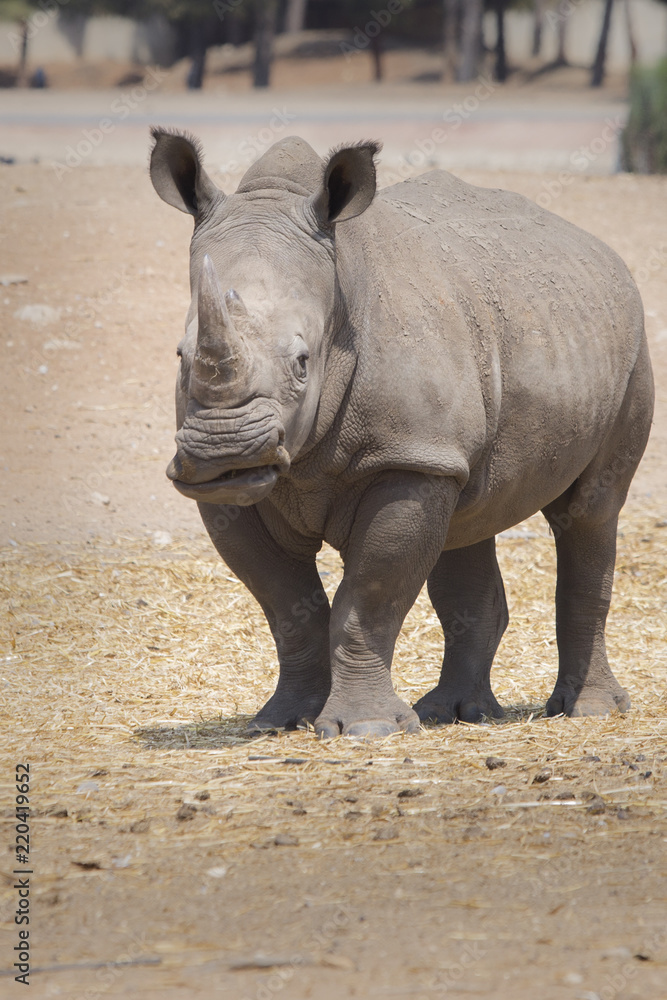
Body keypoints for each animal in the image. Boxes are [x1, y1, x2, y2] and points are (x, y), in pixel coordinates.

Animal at [149, 129, 653, 738]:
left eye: (302, 362)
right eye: (180, 356)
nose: (224, 451)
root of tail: (600, 249)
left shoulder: (407, 457)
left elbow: (368, 599)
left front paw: (367, 729)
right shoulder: (246, 492)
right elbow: (287, 606)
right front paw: (282, 722)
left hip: (631, 343)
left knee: (589, 510)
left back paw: (589, 710)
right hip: (519, 345)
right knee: (467, 518)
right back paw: (456, 714)